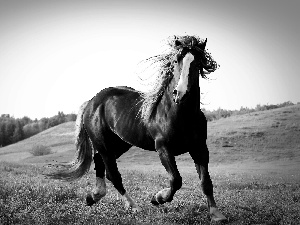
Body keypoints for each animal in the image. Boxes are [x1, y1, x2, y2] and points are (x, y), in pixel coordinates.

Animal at [49, 35, 227, 221]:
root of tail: (92, 102)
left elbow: (206, 182)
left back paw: (93, 196)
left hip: (119, 144)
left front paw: (216, 214)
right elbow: (176, 180)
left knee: (101, 163)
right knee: (113, 174)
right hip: (104, 145)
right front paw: (158, 198)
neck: (180, 114)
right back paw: (132, 206)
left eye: (198, 62)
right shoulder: (163, 148)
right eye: (176, 60)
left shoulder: (199, 148)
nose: (180, 94)